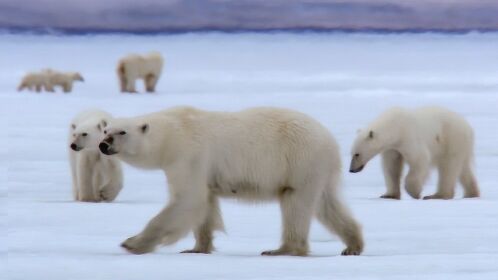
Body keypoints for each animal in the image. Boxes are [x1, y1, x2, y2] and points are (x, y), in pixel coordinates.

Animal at [98, 106, 362, 258]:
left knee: (295, 203)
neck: (172, 133)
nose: (103, 145)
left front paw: (133, 243)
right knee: (327, 204)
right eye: (106, 130)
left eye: (122, 132)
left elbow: (187, 200)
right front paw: (197, 248)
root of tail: (330, 139)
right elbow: (204, 204)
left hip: (300, 159)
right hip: (316, 168)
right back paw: (353, 244)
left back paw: (281, 249)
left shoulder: (189, 155)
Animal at [348, 106, 480, 200]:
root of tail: (468, 127)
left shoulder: (409, 137)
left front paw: (415, 192)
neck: (395, 126)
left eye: (357, 154)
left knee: (448, 167)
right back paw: (471, 194)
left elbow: (420, 159)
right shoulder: (392, 148)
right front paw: (389, 195)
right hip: (461, 145)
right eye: (351, 153)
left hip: (451, 139)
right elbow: (391, 167)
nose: (351, 170)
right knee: (463, 168)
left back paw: (437, 195)